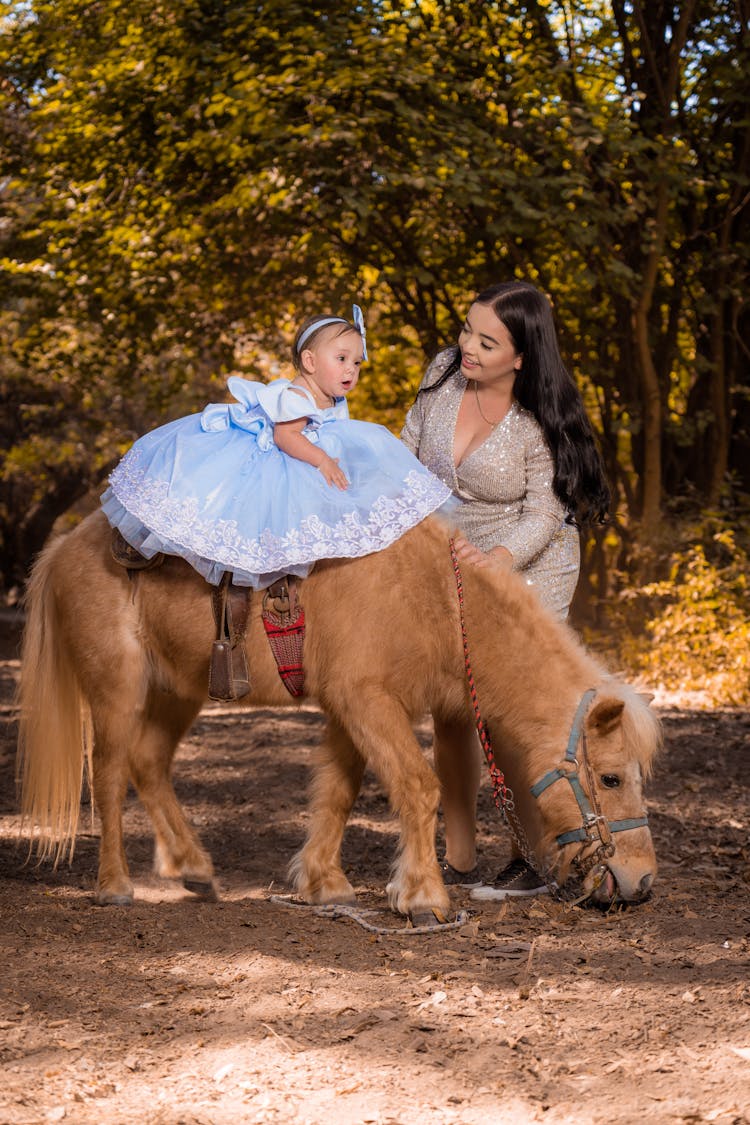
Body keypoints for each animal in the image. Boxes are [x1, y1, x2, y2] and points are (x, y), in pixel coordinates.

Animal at [16, 510, 661, 913]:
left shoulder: (352, 711)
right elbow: (417, 786)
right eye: (610, 779)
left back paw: (193, 868)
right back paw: (115, 884)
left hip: (178, 689)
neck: (433, 599)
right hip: (117, 688)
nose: (643, 880)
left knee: (148, 763)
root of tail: (66, 546)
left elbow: (337, 793)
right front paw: (423, 897)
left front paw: (325, 884)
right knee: (107, 773)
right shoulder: (367, 702)